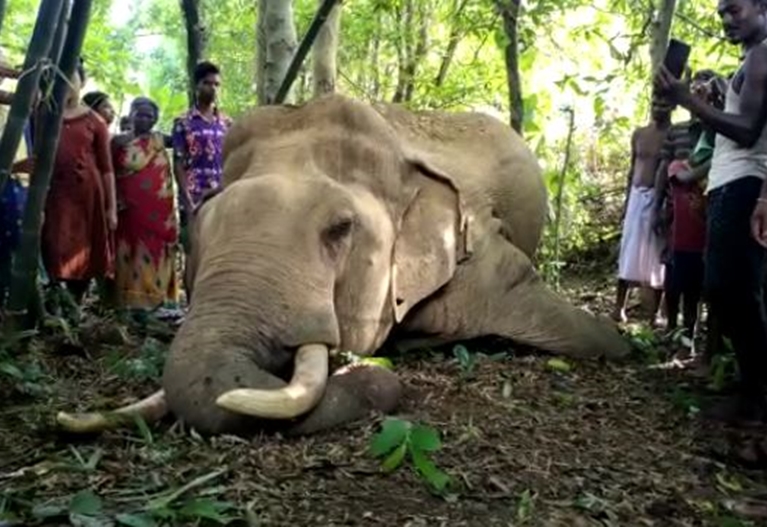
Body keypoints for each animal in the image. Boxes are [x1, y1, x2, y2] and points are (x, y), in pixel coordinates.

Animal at [56, 94, 630, 437]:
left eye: (340, 229)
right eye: (200, 225)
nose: (380, 377)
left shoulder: (477, 246)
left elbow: (557, 314)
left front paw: (624, 343)